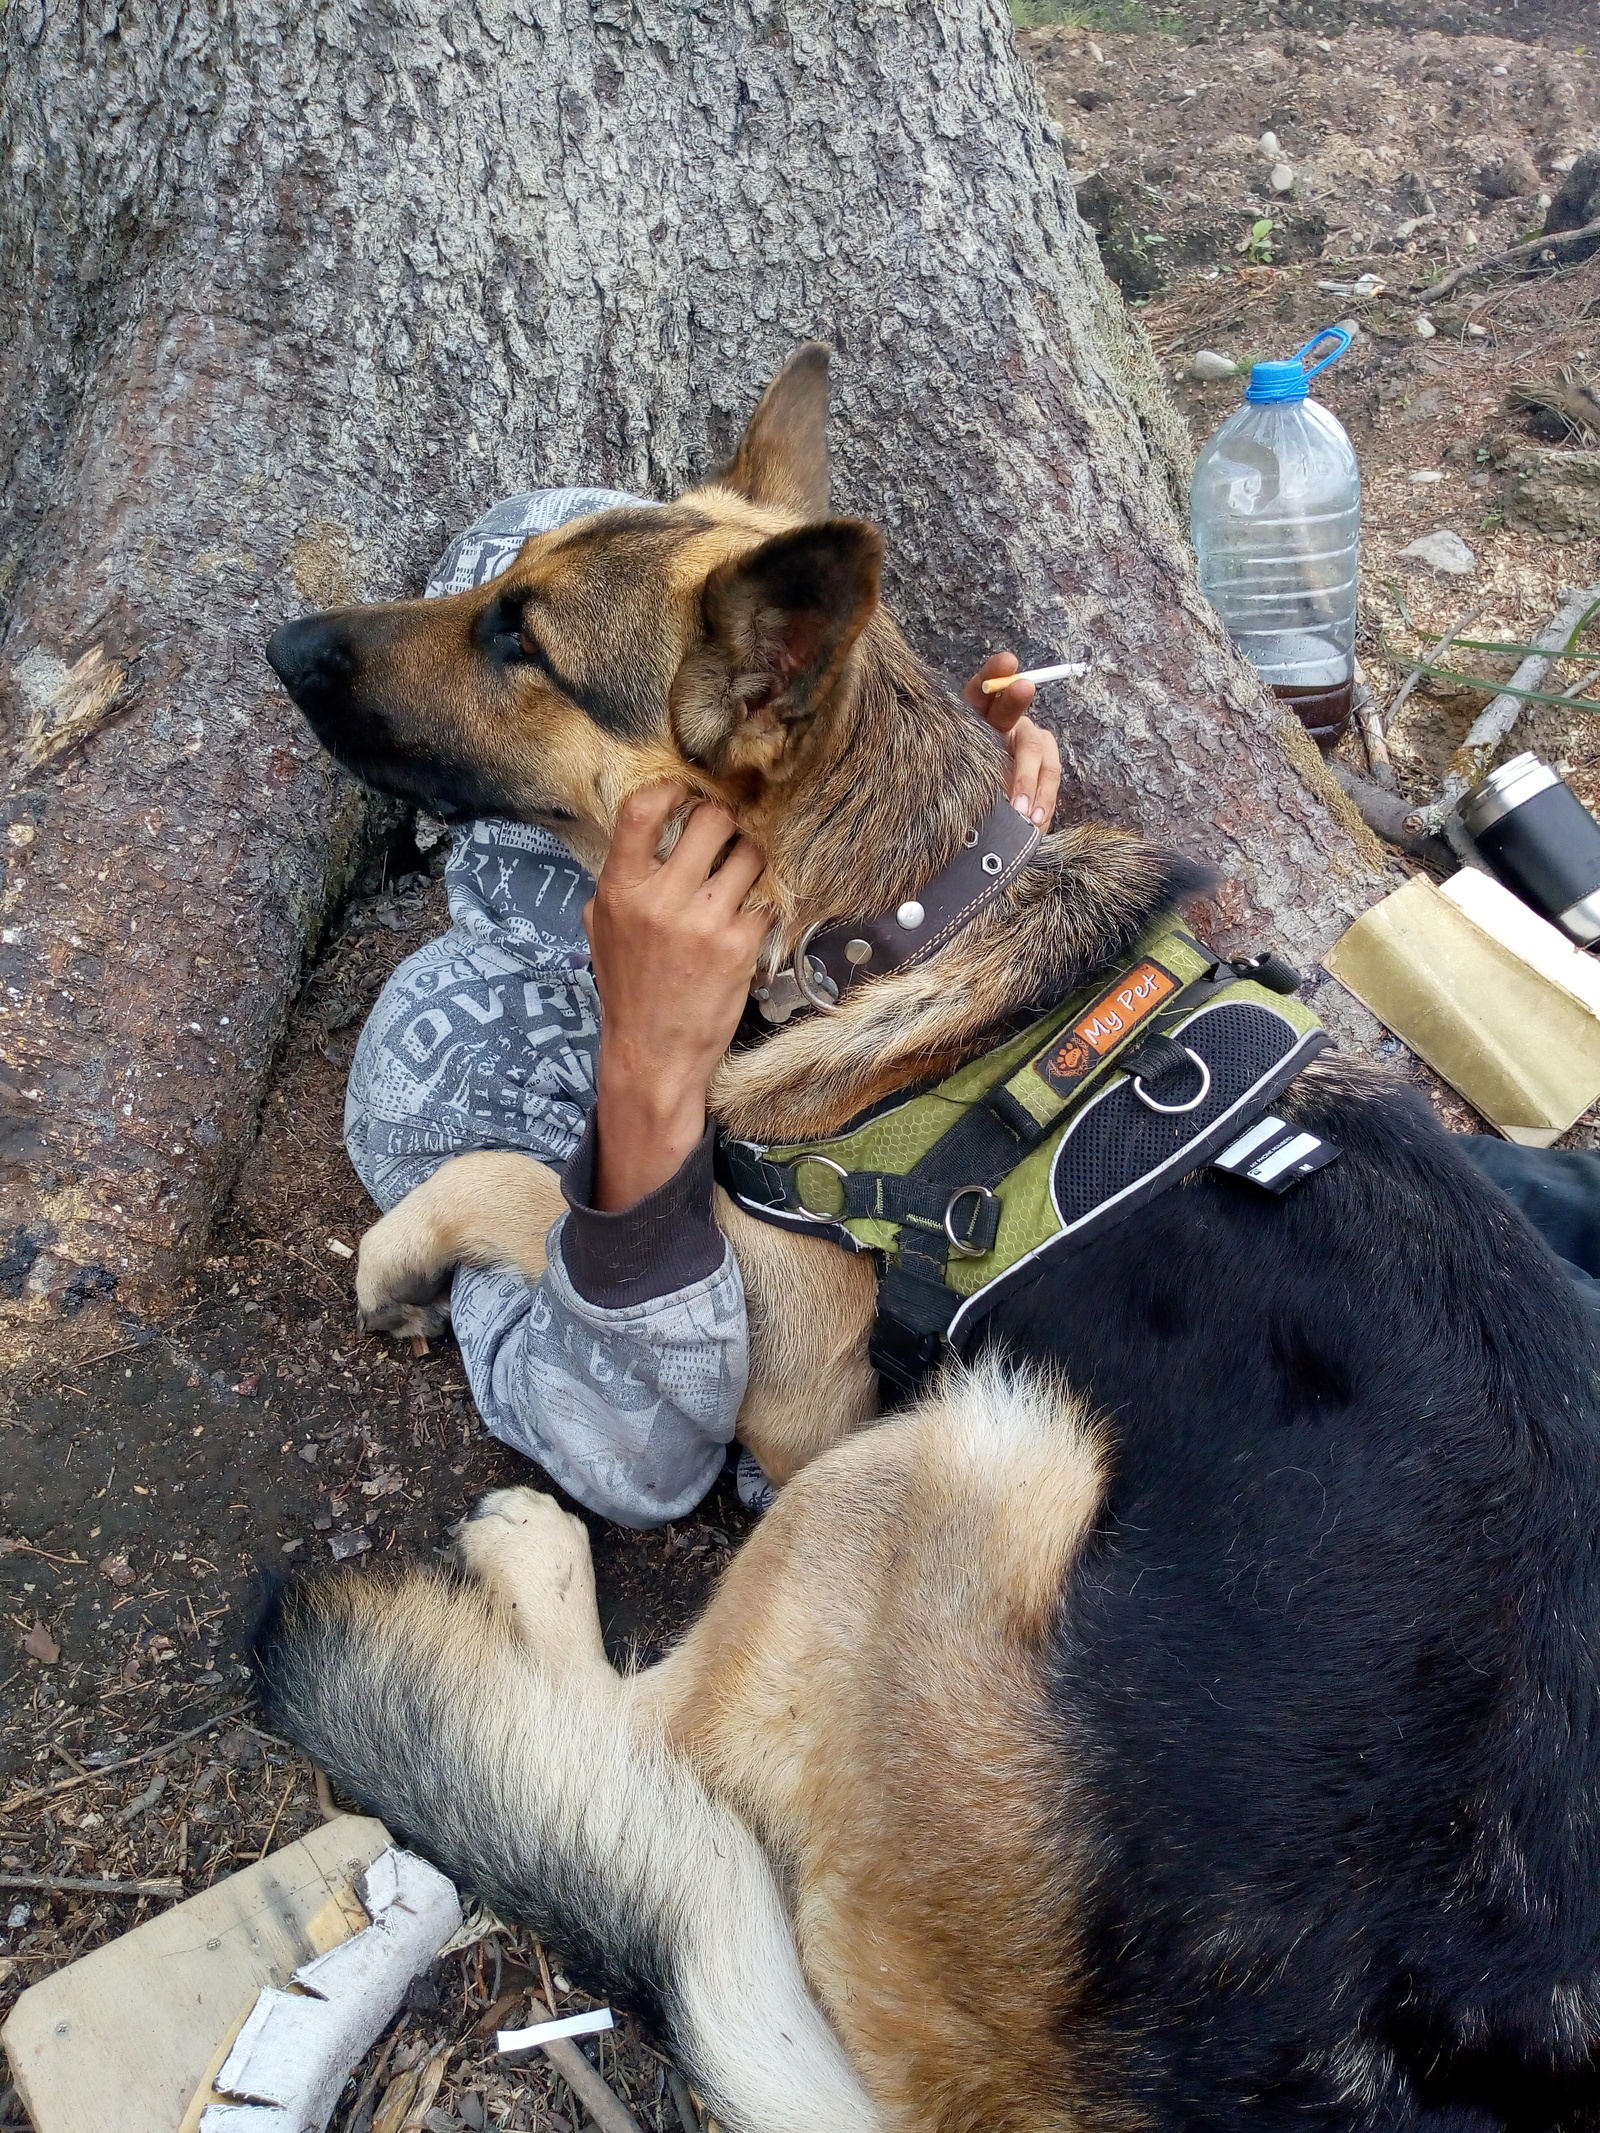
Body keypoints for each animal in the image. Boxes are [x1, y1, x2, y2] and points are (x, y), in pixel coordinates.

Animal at [257, 349, 1600, 2133]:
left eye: (521, 640)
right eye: (495, 593)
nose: (282, 645)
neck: (911, 914)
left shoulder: (796, 1355)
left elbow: (530, 1187)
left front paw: (405, 1251)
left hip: (968, 1450)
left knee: (644, 1734)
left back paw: (528, 1553)